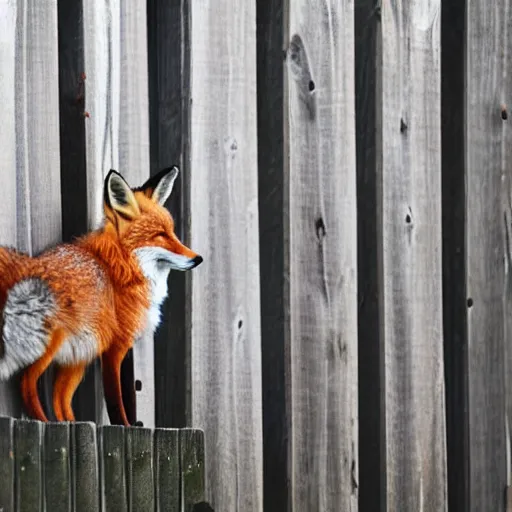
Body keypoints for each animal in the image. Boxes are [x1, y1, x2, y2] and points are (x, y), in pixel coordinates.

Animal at [0, 166, 202, 426]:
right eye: (159, 235)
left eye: (172, 232)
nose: (198, 258)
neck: (119, 268)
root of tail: (26, 266)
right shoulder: (115, 348)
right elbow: (116, 402)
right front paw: (126, 426)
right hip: (50, 346)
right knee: (27, 383)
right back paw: (43, 421)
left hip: (77, 358)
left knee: (60, 401)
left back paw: (70, 423)